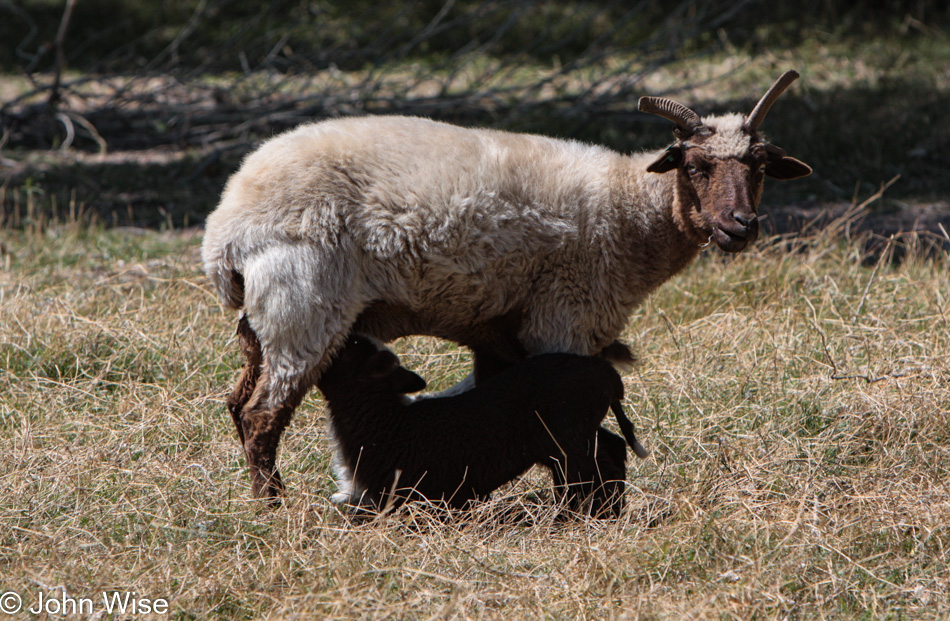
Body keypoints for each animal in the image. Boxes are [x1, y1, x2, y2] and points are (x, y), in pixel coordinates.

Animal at [205, 71, 816, 498]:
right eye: (694, 166)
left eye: (761, 166)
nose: (741, 226)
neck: (632, 212)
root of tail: (225, 229)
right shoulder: (562, 320)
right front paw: (580, 510)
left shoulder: (498, 338)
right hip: (303, 306)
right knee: (261, 417)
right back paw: (274, 509)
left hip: (260, 323)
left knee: (237, 405)